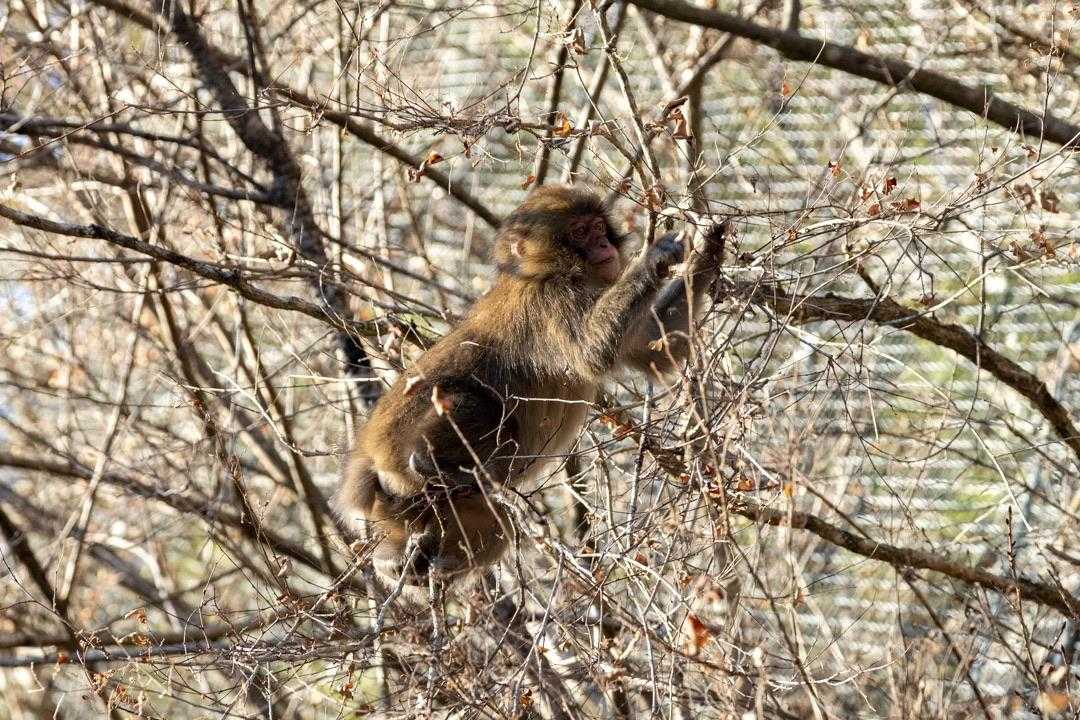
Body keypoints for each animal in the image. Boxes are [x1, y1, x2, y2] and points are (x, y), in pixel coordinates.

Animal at [336, 185, 728, 586]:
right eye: (580, 232)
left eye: (598, 227)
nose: (605, 245)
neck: (543, 273)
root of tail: (366, 455)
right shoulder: (550, 300)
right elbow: (594, 351)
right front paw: (656, 257)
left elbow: (659, 348)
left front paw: (707, 250)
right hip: (399, 452)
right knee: (485, 410)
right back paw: (431, 465)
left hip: (398, 506)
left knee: (497, 522)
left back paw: (401, 561)